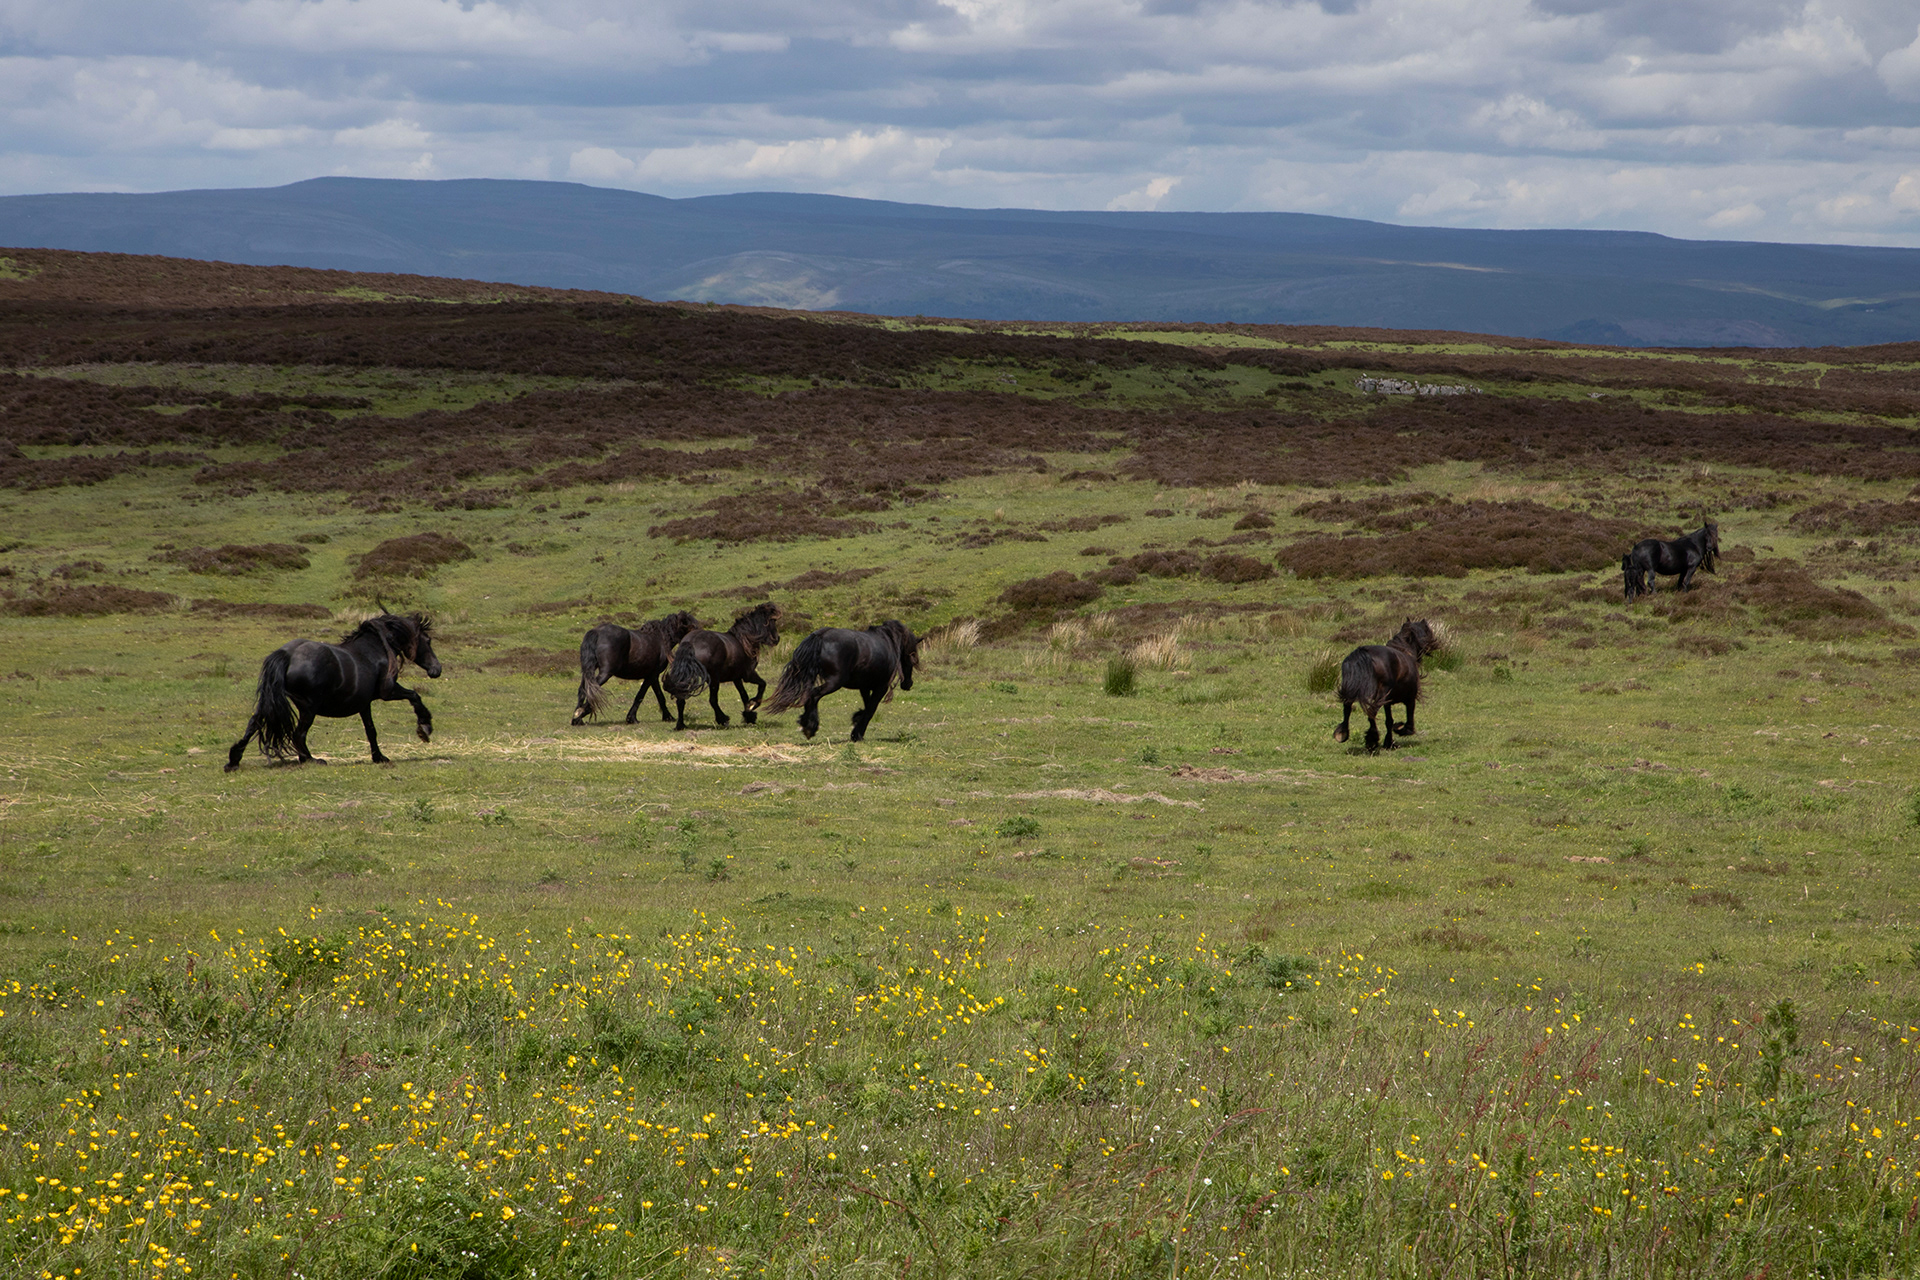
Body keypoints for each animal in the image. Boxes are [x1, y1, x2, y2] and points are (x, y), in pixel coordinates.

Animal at [226, 611, 442, 770]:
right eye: (428, 640)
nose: (436, 669)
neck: (374, 650)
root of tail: (286, 654)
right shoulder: (388, 692)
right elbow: (414, 695)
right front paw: (425, 727)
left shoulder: (364, 704)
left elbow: (371, 730)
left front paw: (379, 757)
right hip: (308, 708)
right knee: (298, 735)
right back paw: (312, 760)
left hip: (269, 701)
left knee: (254, 724)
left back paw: (233, 760)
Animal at [571, 610, 701, 725]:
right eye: (693, 626)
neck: (660, 639)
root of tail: (597, 632)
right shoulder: (652, 675)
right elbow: (641, 695)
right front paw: (632, 718)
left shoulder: (653, 677)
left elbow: (660, 696)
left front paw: (668, 717)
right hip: (605, 673)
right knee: (592, 689)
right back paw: (581, 713)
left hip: (588, 671)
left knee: (583, 689)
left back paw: (577, 719)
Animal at [661, 602, 781, 730]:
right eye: (772, 621)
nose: (777, 639)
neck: (743, 641)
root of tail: (690, 643)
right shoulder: (748, 675)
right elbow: (762, 684)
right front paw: (754, 705)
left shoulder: (737, 678)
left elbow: (744, 695)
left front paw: (749, 715)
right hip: (714, 679)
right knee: (712, 700)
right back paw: (723, 719)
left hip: (687, 678)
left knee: (681, 699)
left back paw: (680, 725)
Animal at [764, 620, 918, 742]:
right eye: (913, 655)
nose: (908, 684)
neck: (888, 642)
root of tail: (821, 636)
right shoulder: (881, 687)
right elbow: (871, 709)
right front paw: (857, 734)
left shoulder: (865, 687)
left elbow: (867, 706)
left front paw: (857, 722)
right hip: (835, 682)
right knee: (813, 695)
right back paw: (810, 727)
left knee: (808, 695)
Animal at [1332, 617, 1438, 754]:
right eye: (1427, 631)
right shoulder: (1410, 699)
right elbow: (1409, 721)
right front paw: (1400, 729)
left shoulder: (1387, 702)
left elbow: (1389, 721)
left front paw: (1389, 742)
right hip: (1381, 694)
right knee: (1371, 712)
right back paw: (1372, 740)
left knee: (1347, 708)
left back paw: (1342, 733)